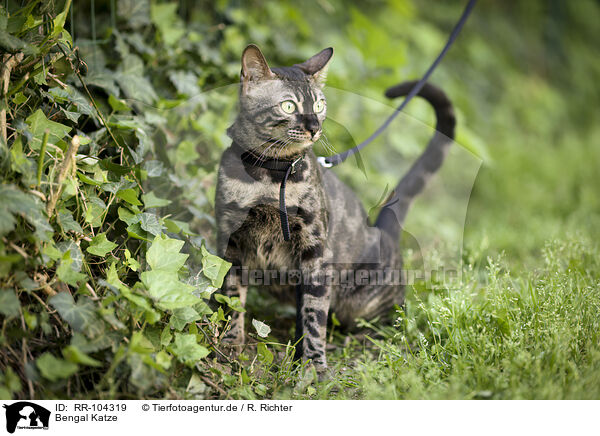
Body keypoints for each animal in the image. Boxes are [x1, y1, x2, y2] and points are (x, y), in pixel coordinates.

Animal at [216, 43, 454, 372]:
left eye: (318, 105)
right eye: (288, 106)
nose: (314, 128)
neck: (268, 177)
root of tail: (384, 230)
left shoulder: (315, 250)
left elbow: (314, 313)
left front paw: (314, 367)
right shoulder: (232, 241)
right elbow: (232, 297)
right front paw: (230, 342)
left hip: (366, 301)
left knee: (393, 323)